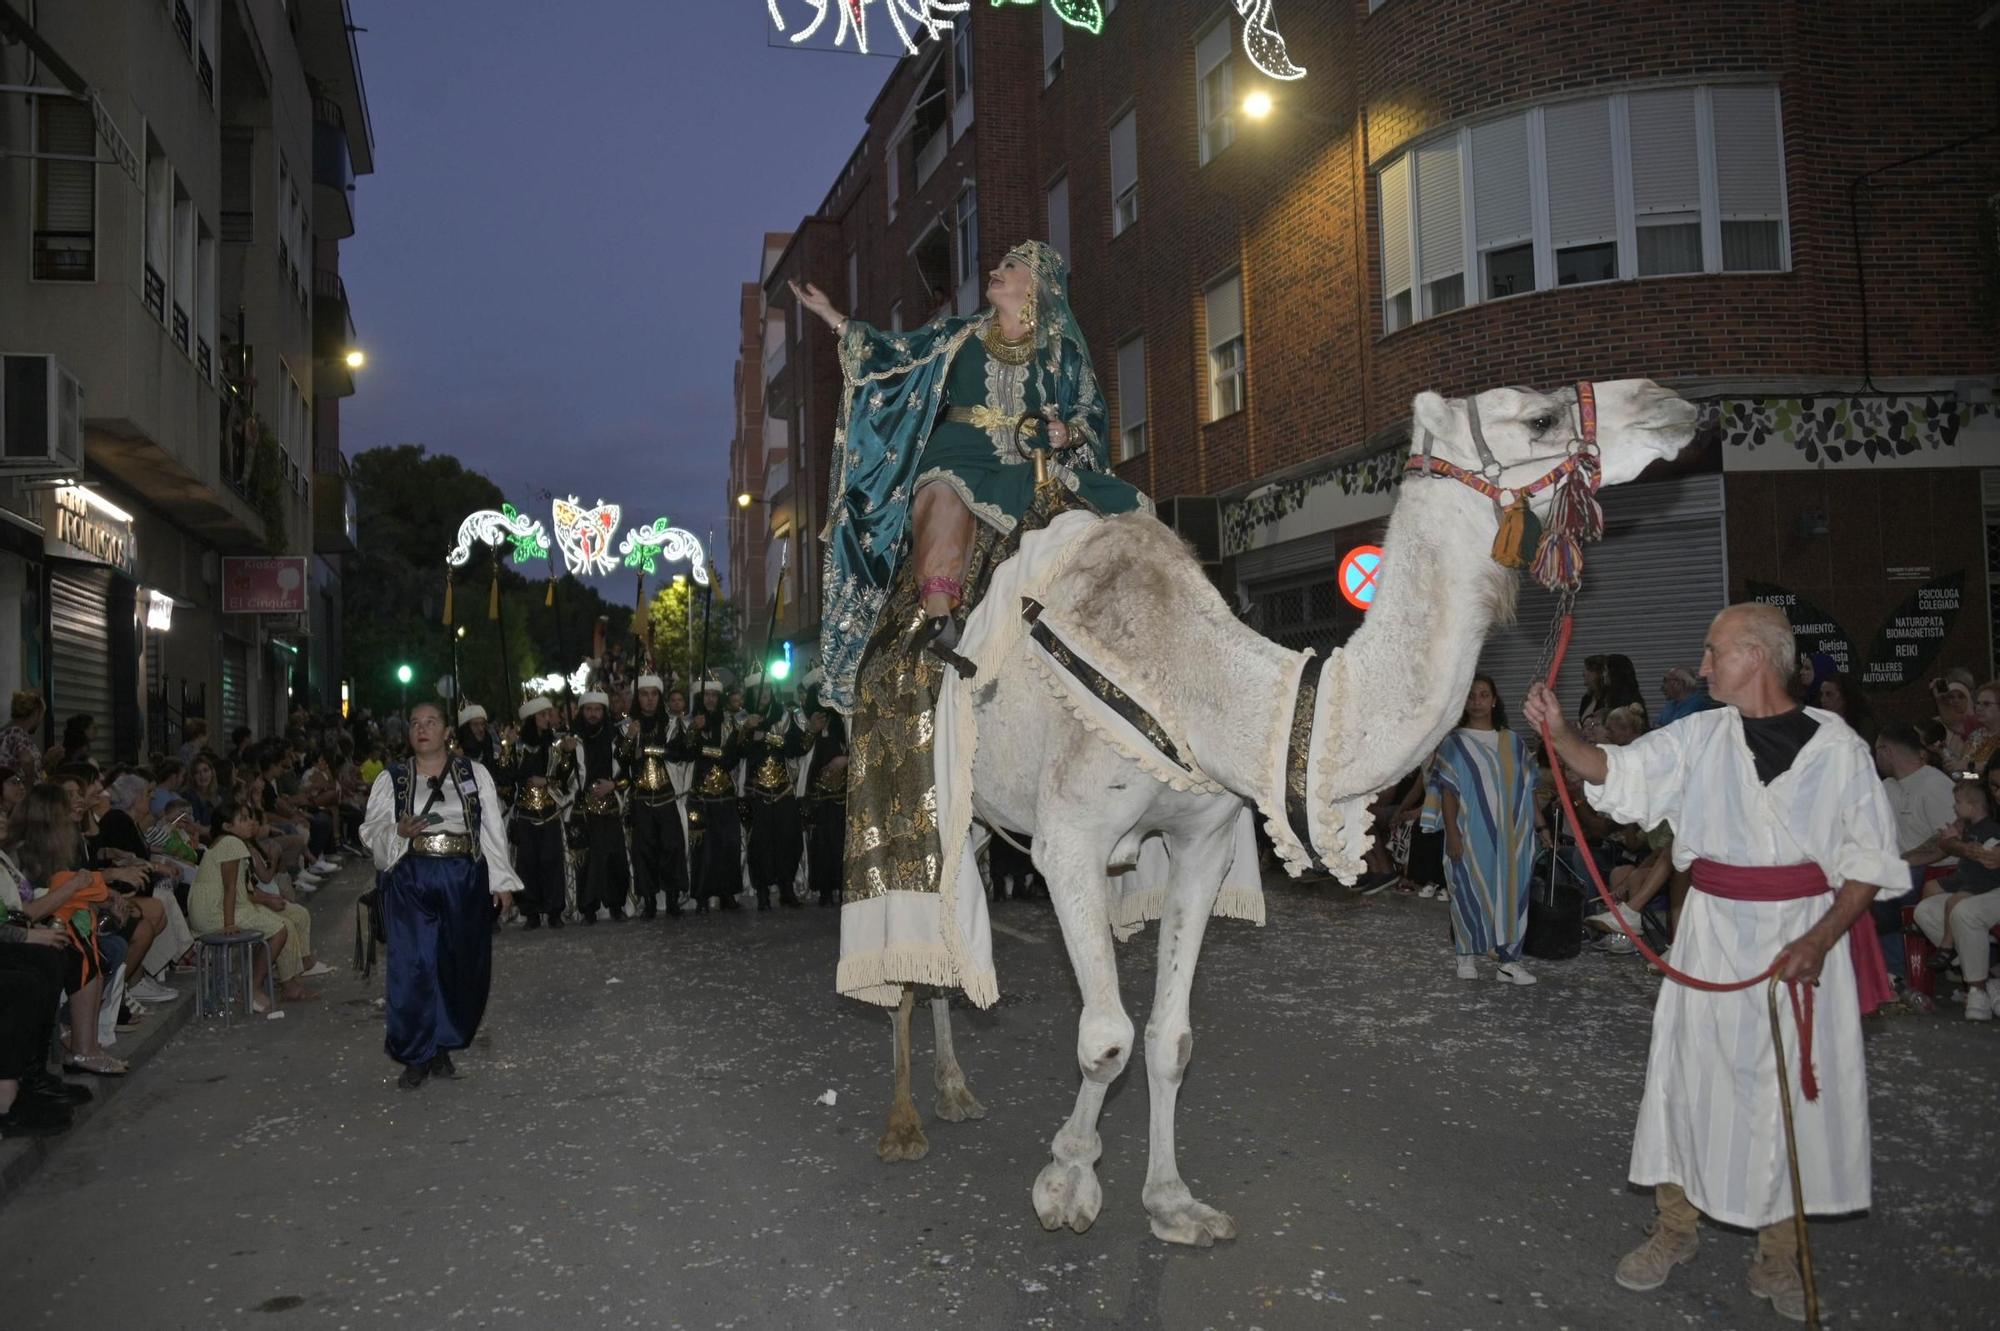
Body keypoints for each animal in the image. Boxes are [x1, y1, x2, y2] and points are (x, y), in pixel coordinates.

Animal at [884, 377, 1696, 1239]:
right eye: (1540, 416)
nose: (1670, 404)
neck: (1209, 687)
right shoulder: (1069, 840)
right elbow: (1106, 1039)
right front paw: (1069, 1181)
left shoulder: (1201, 843)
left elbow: (1169, 1038)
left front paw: (1171, 1201)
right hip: (918, 791)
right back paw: (905, 1120)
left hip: (975, 822)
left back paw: (955, 1087)